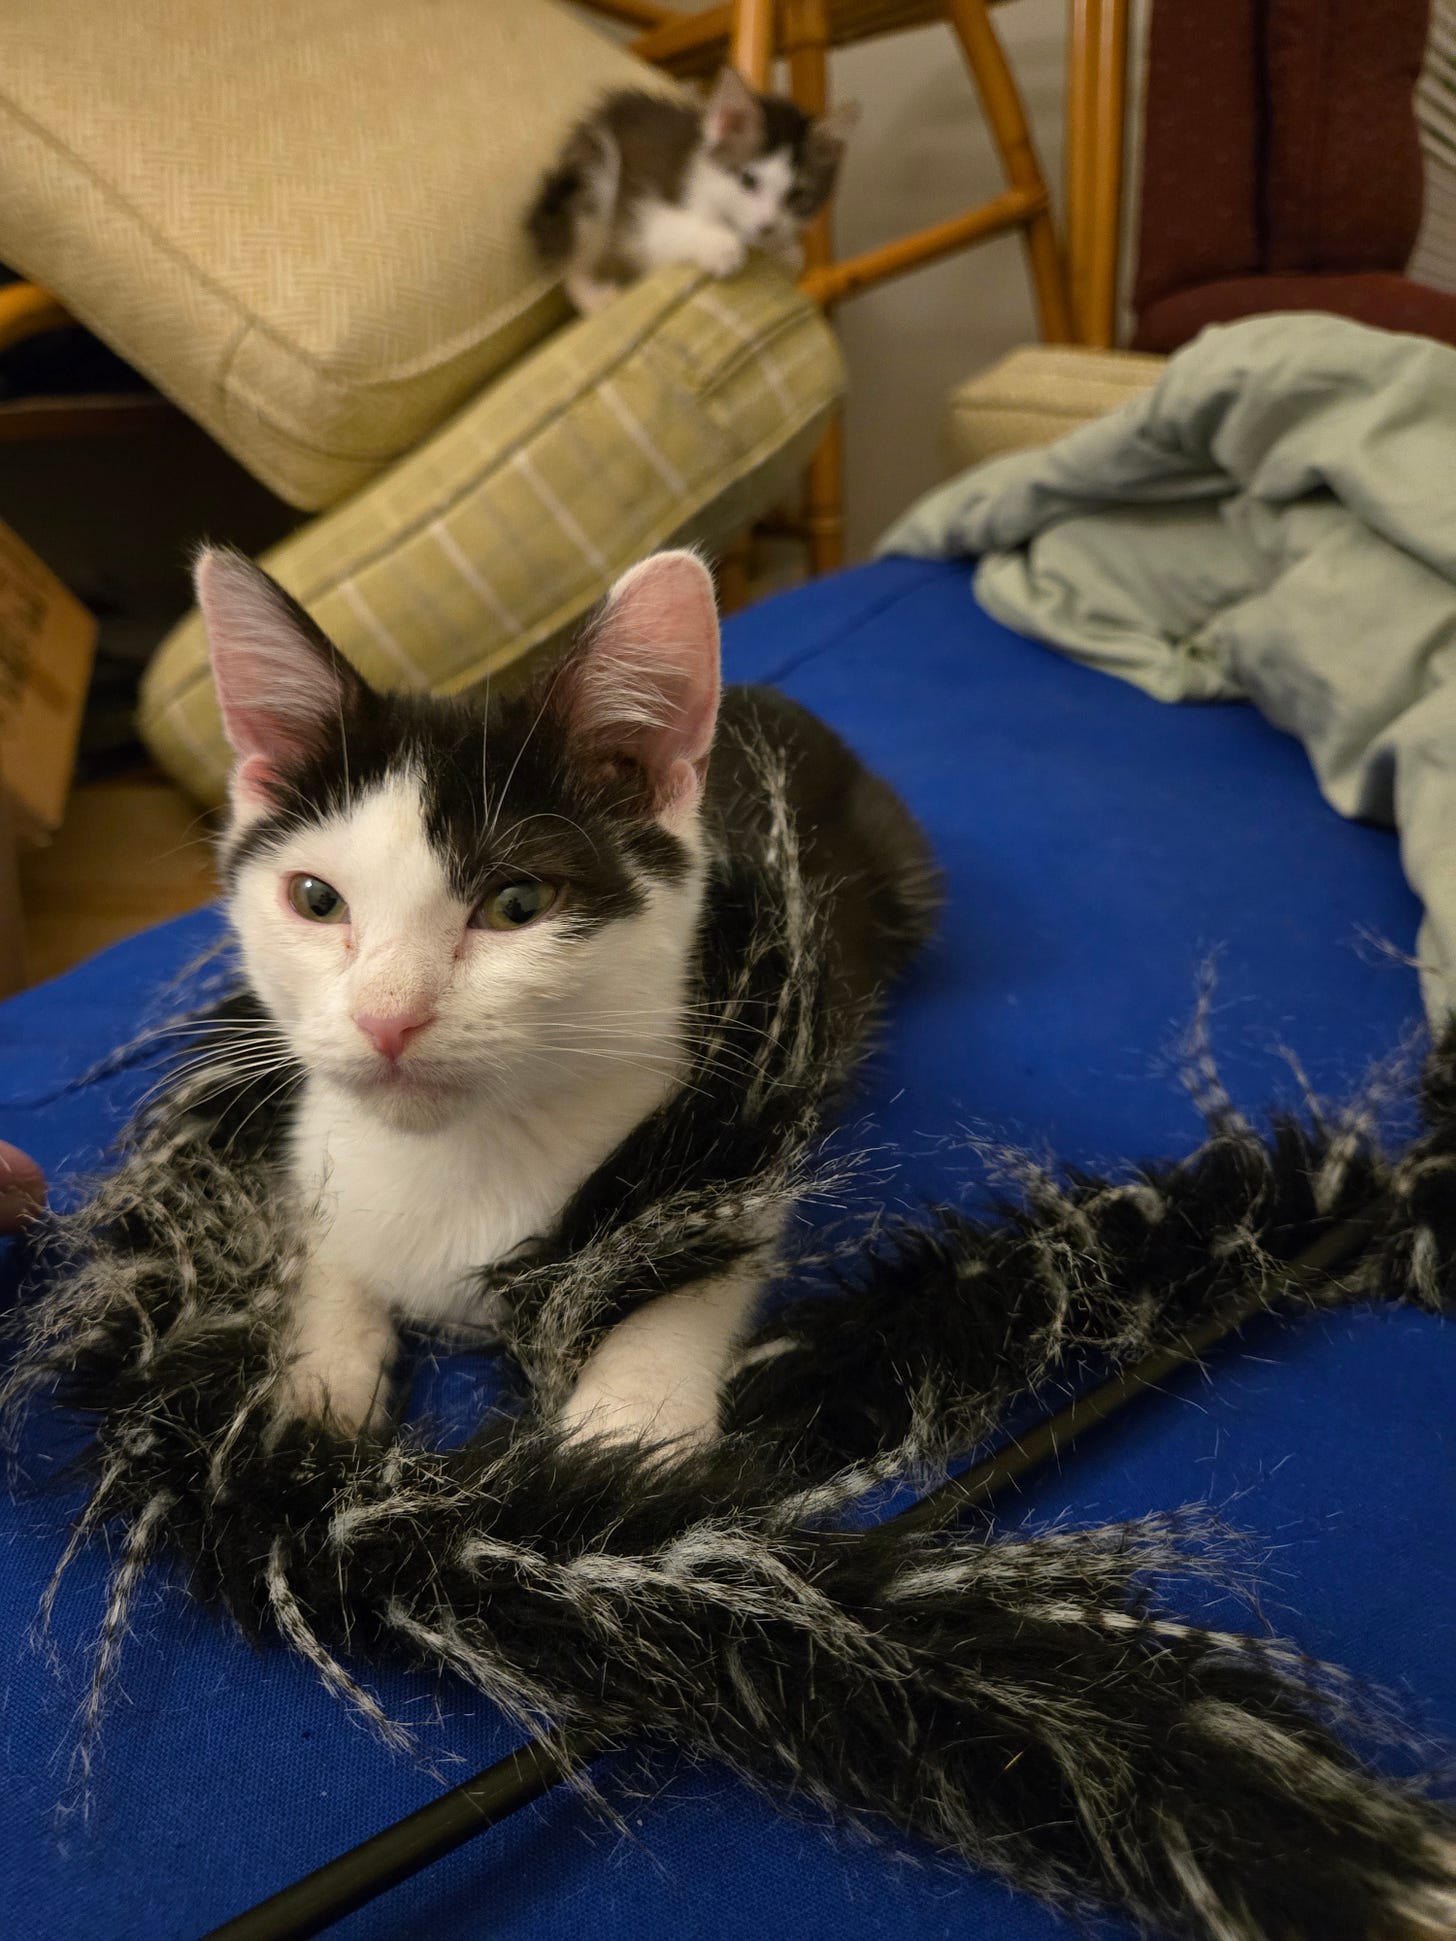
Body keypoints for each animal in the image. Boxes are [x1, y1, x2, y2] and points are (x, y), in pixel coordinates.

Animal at [193, 546, 933, 1450]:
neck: (465, 1152)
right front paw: (320, 1378)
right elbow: (324, 1237)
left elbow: (709, 1257)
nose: (386, 1018)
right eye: (316, 898)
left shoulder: (745, 1093)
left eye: (518, 904)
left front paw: (628, 1425)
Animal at [528, 66, 857, 315]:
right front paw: (719, 245)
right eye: (748, 181)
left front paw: (786, 251)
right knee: (574, 257)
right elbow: (667, 232)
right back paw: (592, 297)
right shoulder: (643, 216)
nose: (767, 225)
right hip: (596, 175)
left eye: (798, 195)